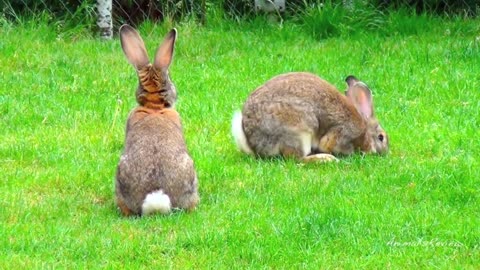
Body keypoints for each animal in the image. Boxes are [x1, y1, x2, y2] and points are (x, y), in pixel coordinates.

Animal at [231, 71, 388, 162]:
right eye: (381, 137)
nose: (386, 152)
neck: (365, 131)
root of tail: (252, 143)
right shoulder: (342, 134)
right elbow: (328, 144)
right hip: (299, 132)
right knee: (297, 159)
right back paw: (326, 159)